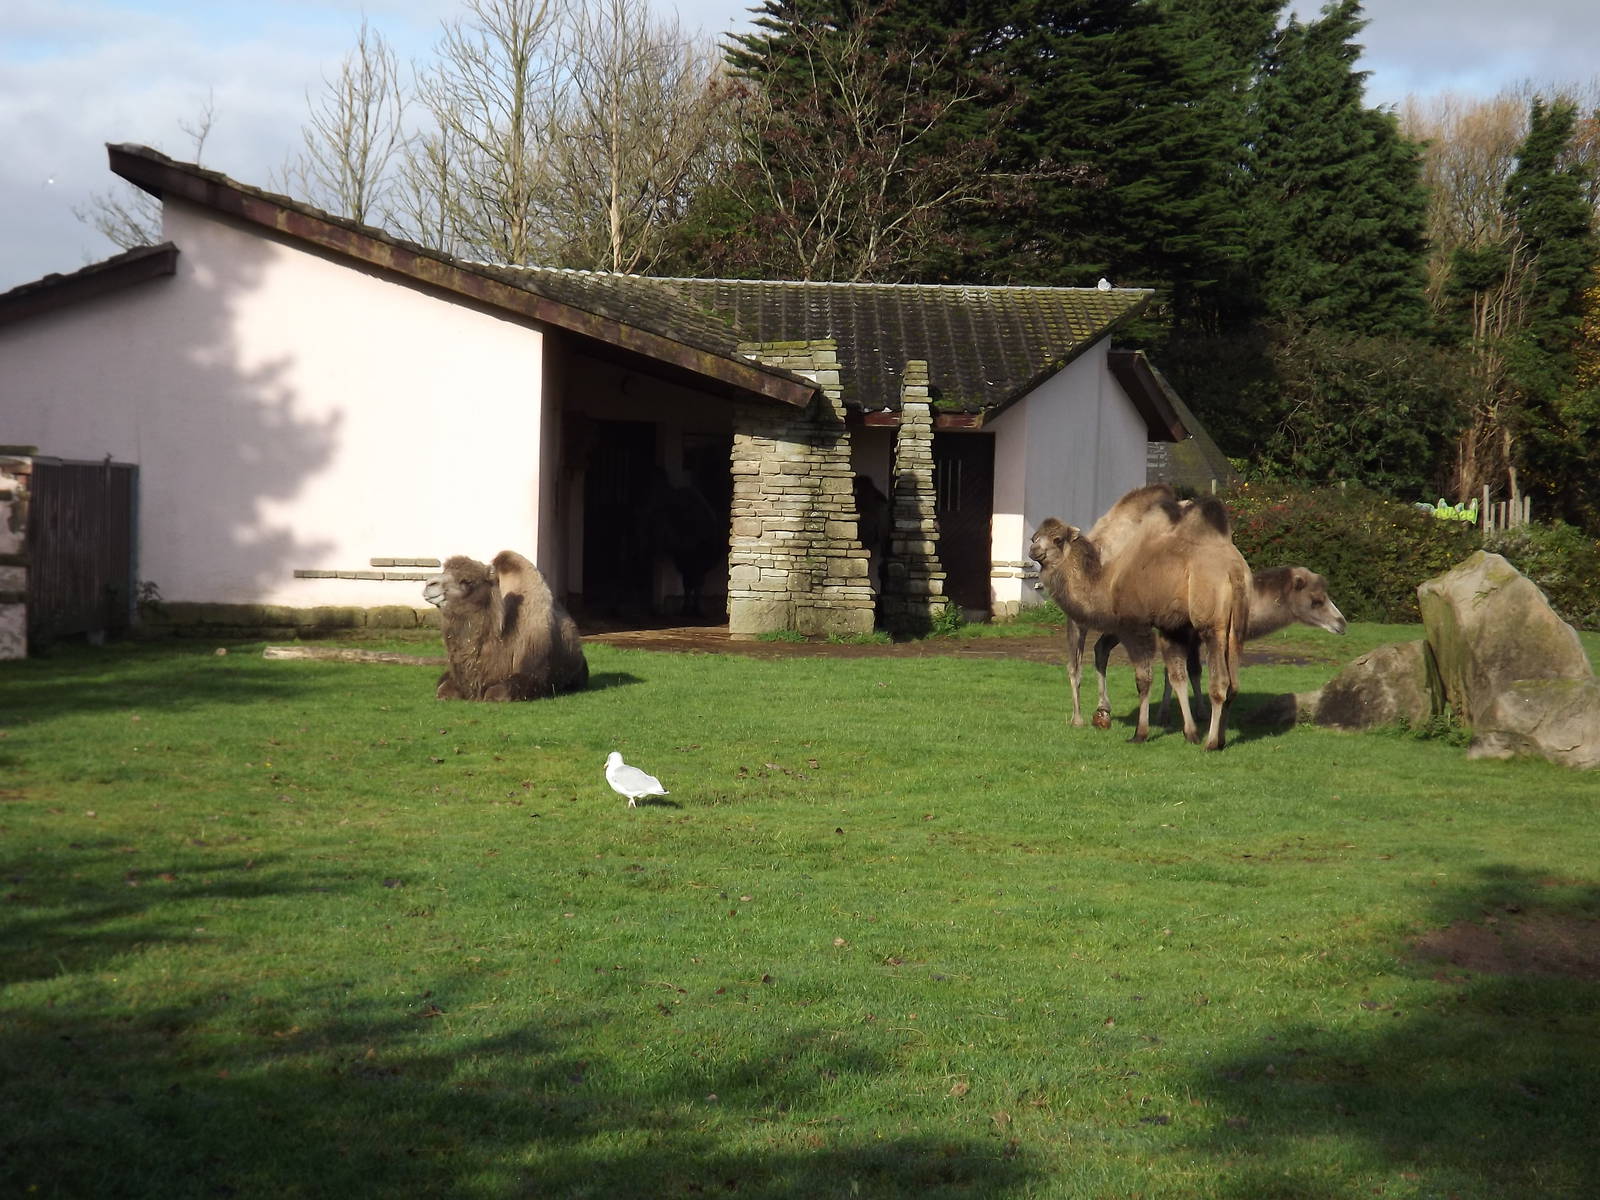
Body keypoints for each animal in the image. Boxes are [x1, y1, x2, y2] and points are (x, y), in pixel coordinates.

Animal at [1031, 495, 1250, 750]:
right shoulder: (1173, 628)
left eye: (1057, 539)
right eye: (1034, 537)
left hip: (1211, 623)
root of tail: (1233, 570)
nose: (1033, 550)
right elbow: (1177, 676)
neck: (1104, 582)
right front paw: (1190, 732)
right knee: (1233, 683)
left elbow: (1144, 679)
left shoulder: (1134, 626)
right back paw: (1220, 738)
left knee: (1220, 682)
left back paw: (1212, 741)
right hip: (1236, 625)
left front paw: (1140, 733)